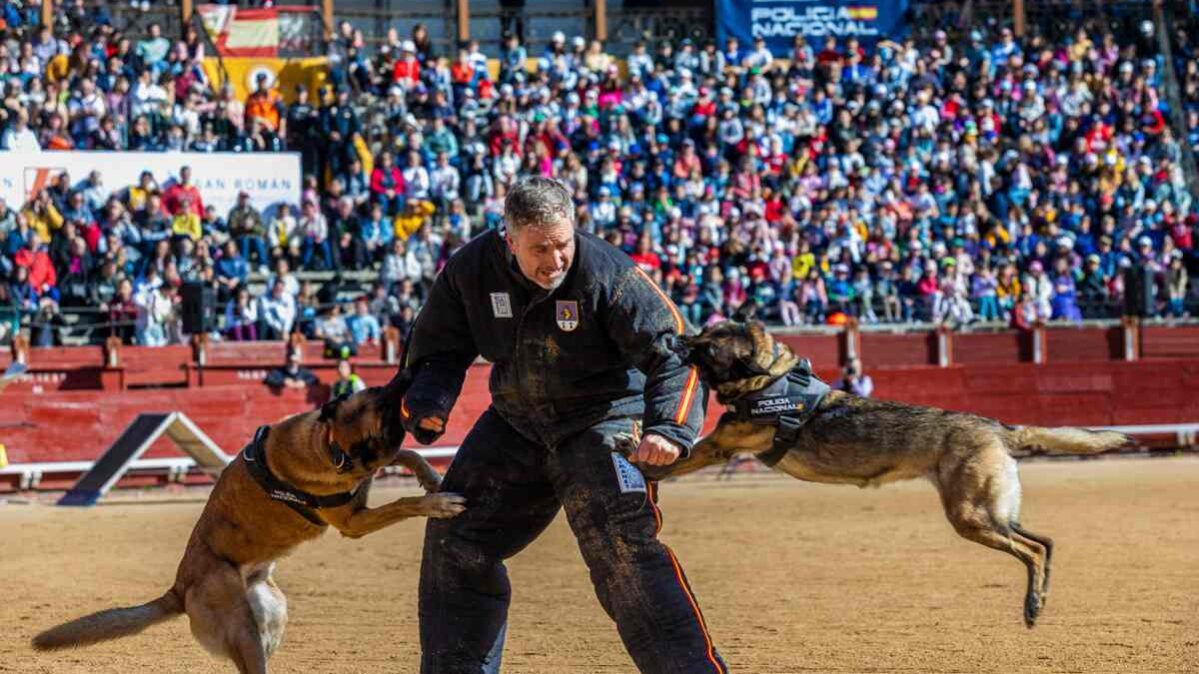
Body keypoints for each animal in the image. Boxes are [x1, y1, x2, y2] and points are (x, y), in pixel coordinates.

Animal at [32, 381, 462, 666]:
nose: (402, 379)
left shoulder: (368, 477)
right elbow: (404, 501)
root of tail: (178, 588)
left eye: (377, 391)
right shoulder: (355, 521)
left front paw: (430, 474)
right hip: (242, 630)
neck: (327, 442)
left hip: (270, 614)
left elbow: (404, 455)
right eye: (382, 403)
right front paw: (437, 501)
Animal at [642, 319, 1127, 623]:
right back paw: (1038, 600)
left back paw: (1032, 606)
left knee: (1033, 550)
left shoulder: (720, 446)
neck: (768, 379)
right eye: (704, 331)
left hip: (971, 515)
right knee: (1044, 542)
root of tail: (995, 426)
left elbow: (672, 461)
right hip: (990, 511)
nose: (672, 339)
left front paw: (640, 457)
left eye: (707, 346)